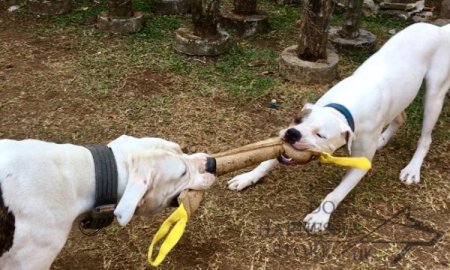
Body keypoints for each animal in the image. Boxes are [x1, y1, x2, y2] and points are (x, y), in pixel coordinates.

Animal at [229, 23, 450, 233]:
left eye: (320, 135)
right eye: (297, 120)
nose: (293, 133)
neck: (343, 110)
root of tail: (439, 29)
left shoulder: (360, 164)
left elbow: (336, 193)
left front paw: (320, 216)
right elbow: (266, 162)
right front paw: (248, 177)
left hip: (434, 96)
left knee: (426, 137)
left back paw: (412, 169)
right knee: (400, 118)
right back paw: (383, 140)